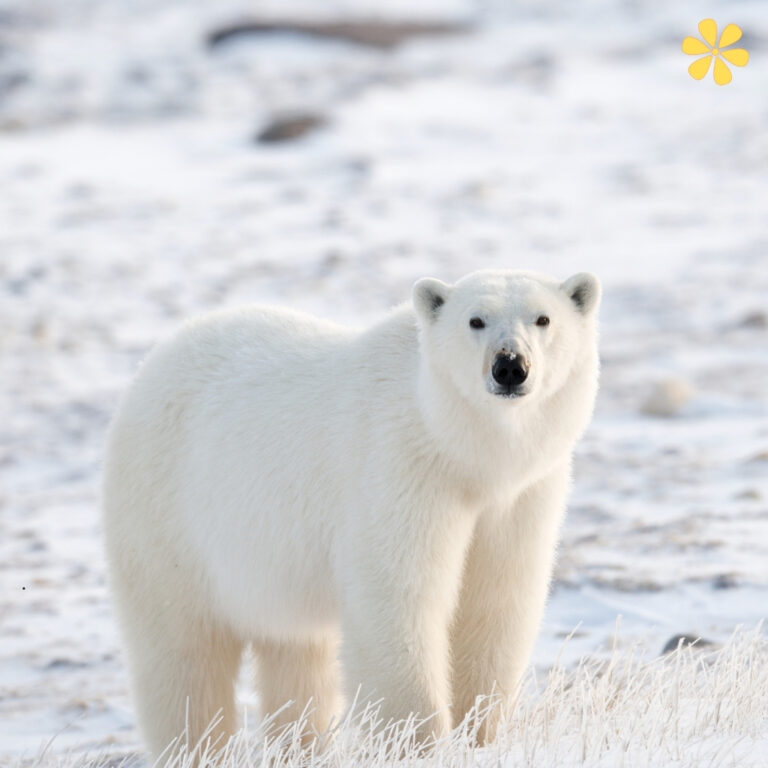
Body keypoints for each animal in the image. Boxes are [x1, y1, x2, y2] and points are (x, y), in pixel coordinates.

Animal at [102, 268, 601, 759]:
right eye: (475, 320)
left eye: (543, 319)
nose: (510, 366)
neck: (460, 451)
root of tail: (155, 361)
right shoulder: (399, 470)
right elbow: (398, 600)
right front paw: (418, 744)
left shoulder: (520, 497)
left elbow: (495, 602)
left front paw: (480, 735)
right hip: (168, 521)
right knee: (184, 655)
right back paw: (196, 748)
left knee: (296, 656)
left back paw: (302, 748)